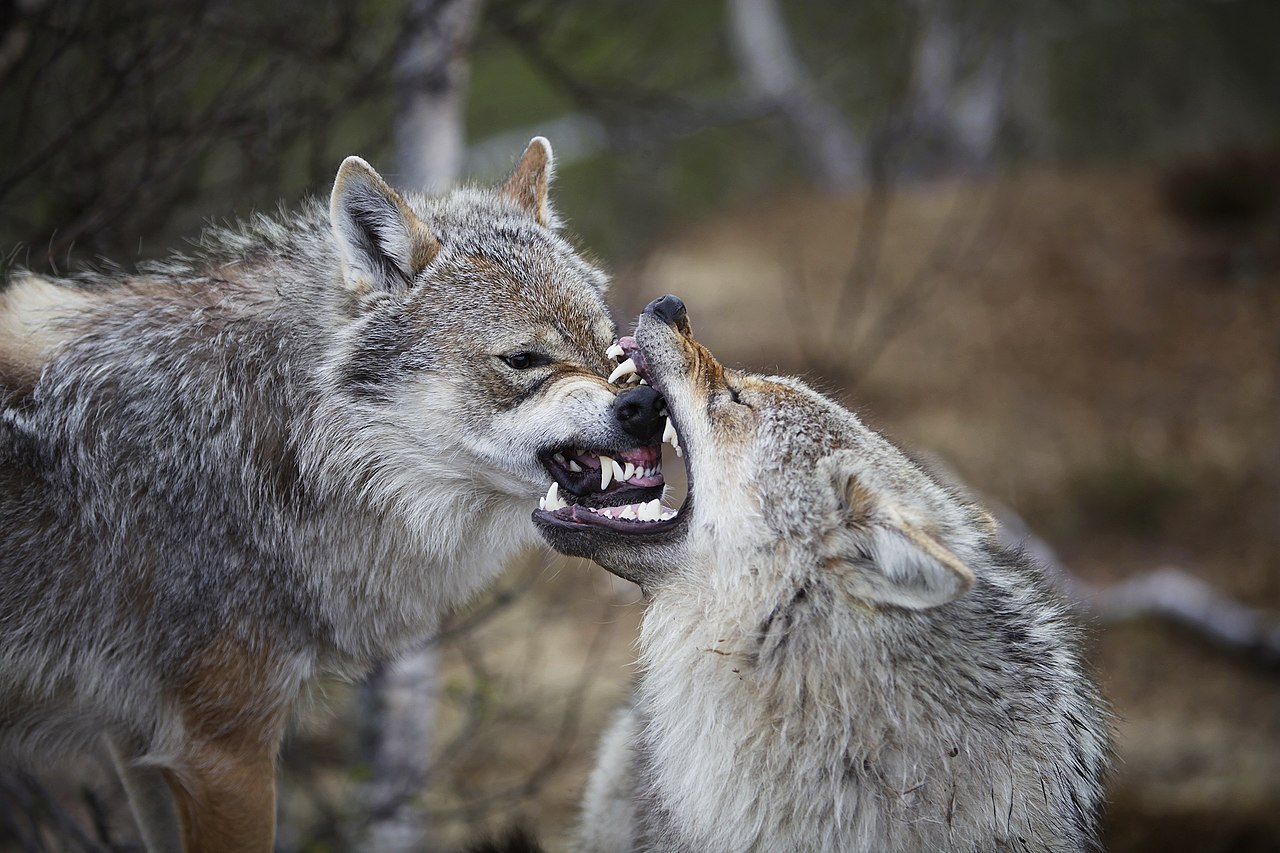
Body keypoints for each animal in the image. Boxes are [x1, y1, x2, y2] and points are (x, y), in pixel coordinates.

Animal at [2, 136, 670, 845]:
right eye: (523, 360)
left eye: (608, 347)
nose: (646, 405)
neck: (286, 442)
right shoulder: (221, 748)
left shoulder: (139, 742)